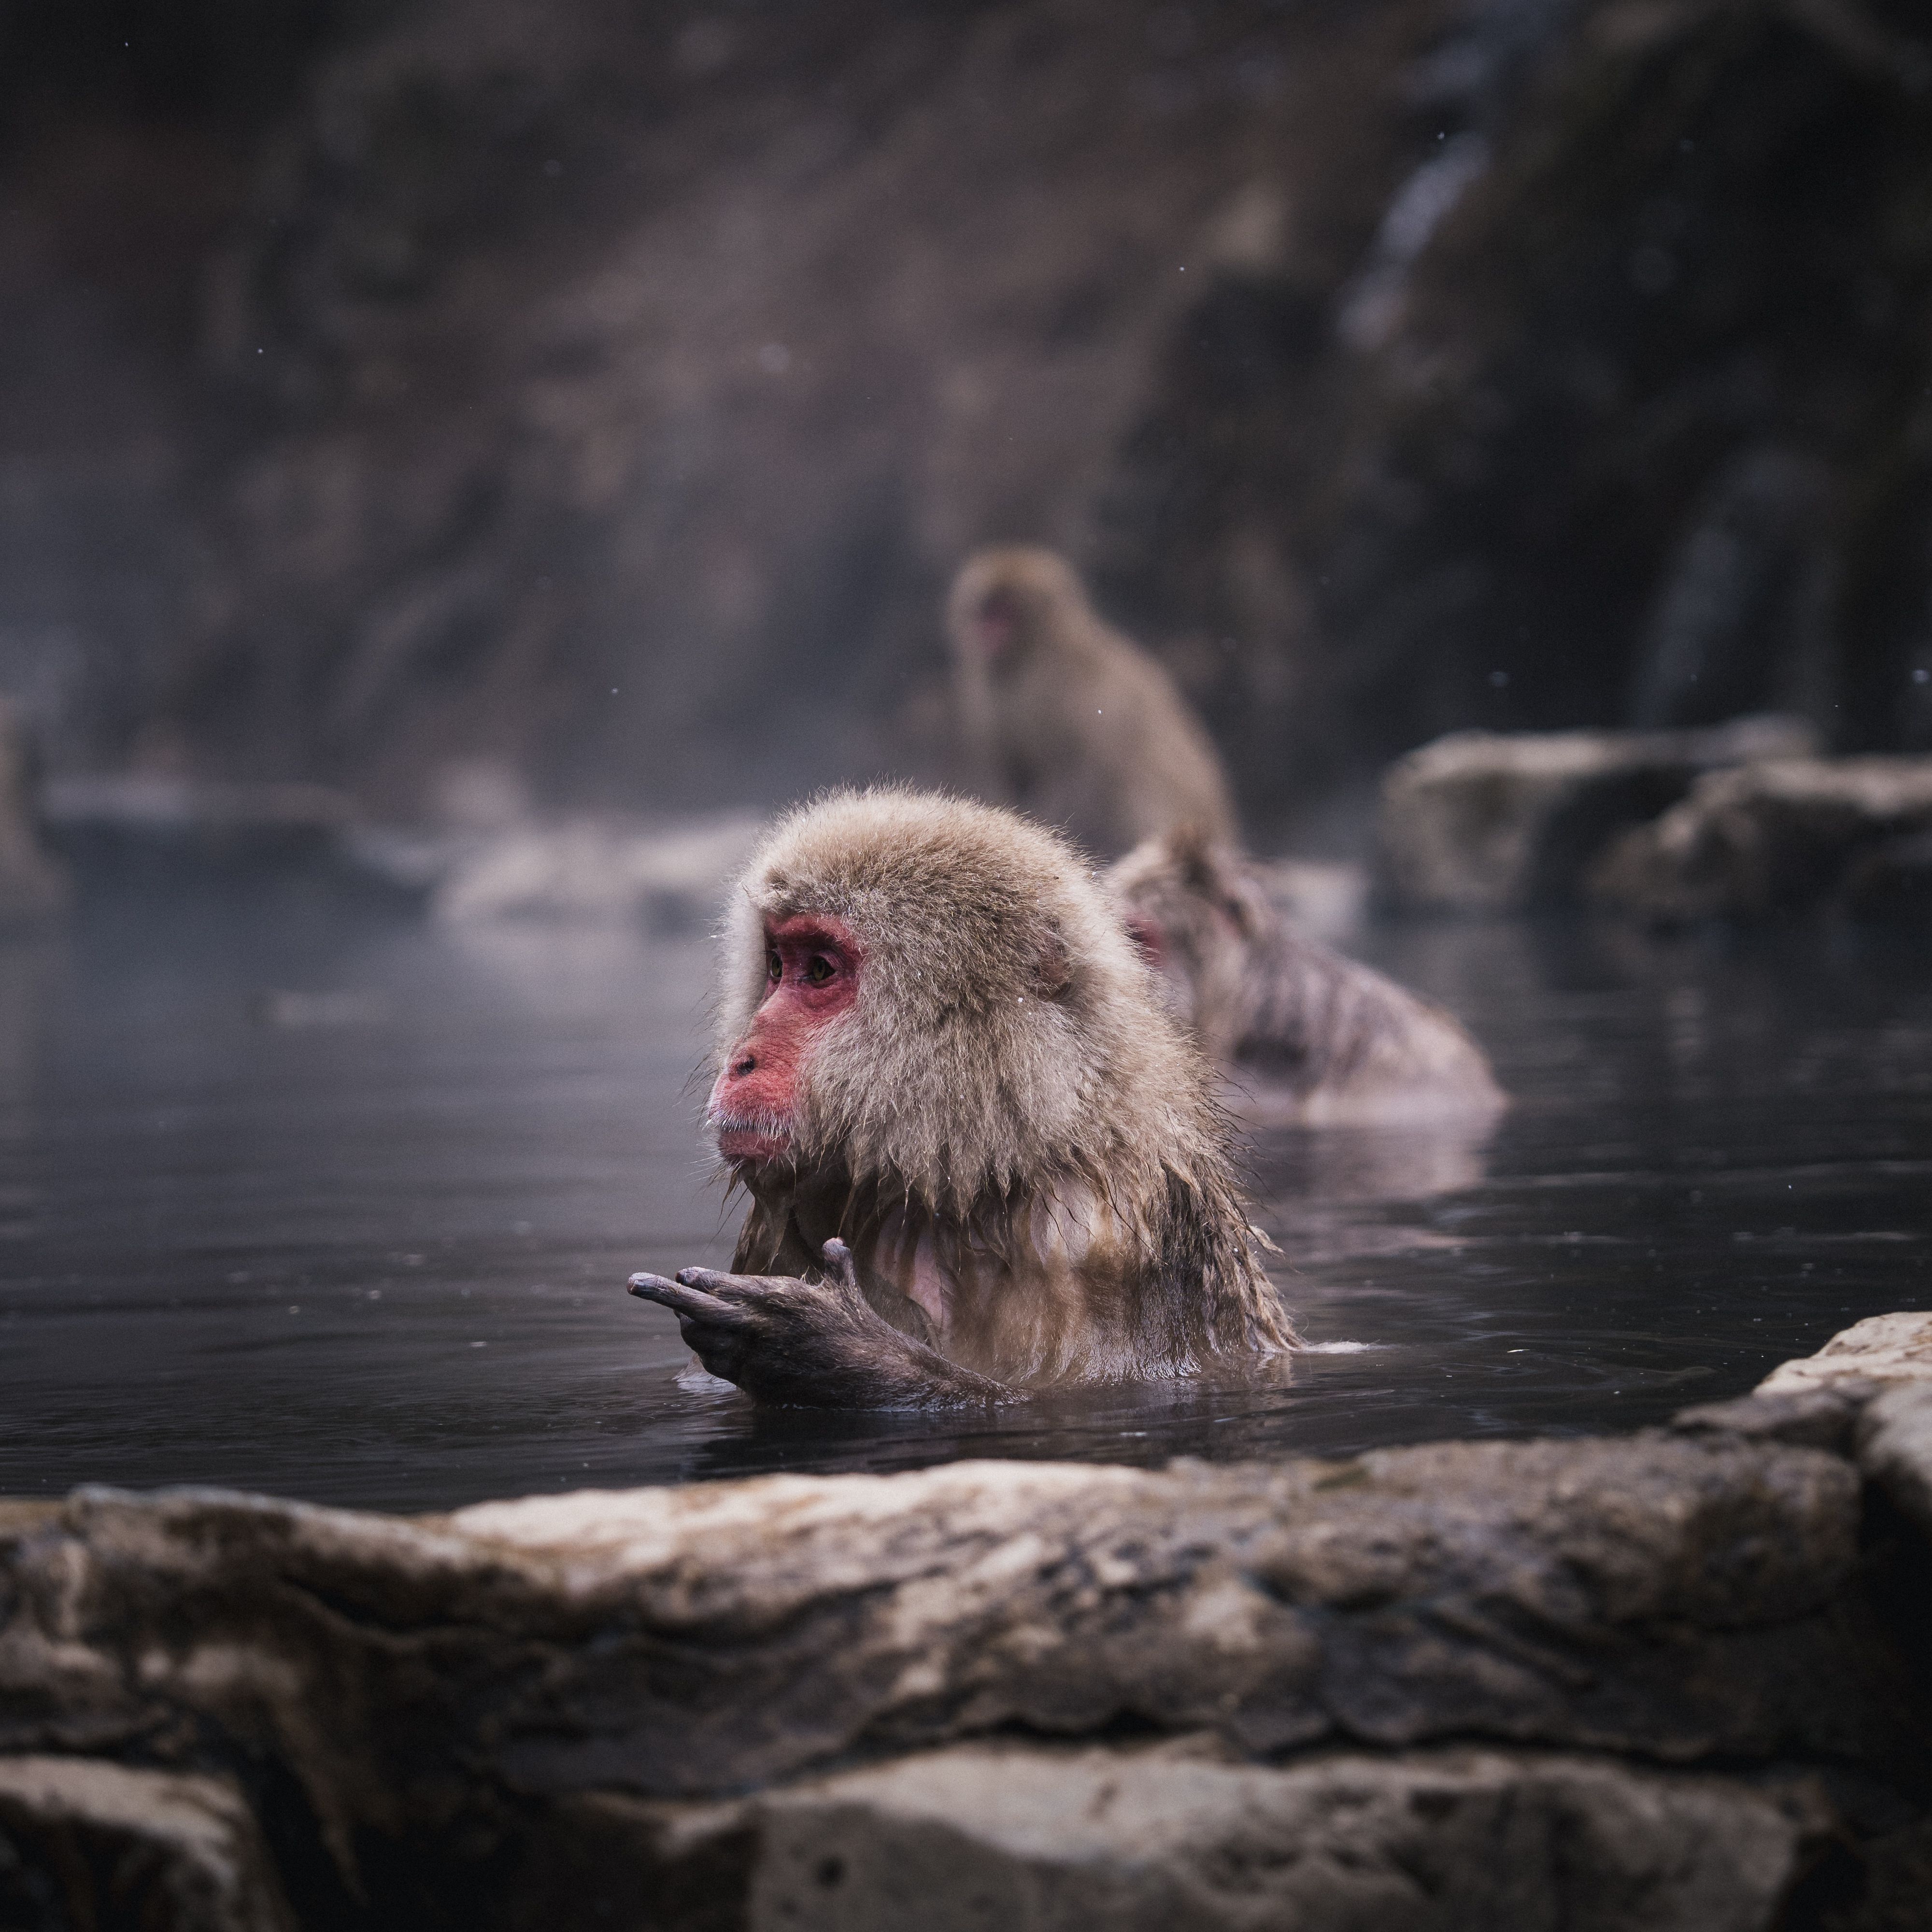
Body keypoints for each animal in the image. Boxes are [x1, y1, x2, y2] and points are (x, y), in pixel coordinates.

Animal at [626, 788, 1296, 1408]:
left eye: (818, 970)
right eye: (775, 966)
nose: (742, 1059)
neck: (981, 1170)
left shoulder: (1090, 1242)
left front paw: (828, 1348)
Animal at [946, 546, 1238, 860]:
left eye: (1005, 614)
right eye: (985, 612)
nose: (985, 632)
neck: (1028, 657)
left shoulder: (1056, 692)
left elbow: (1078, 766)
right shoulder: (989, 698)